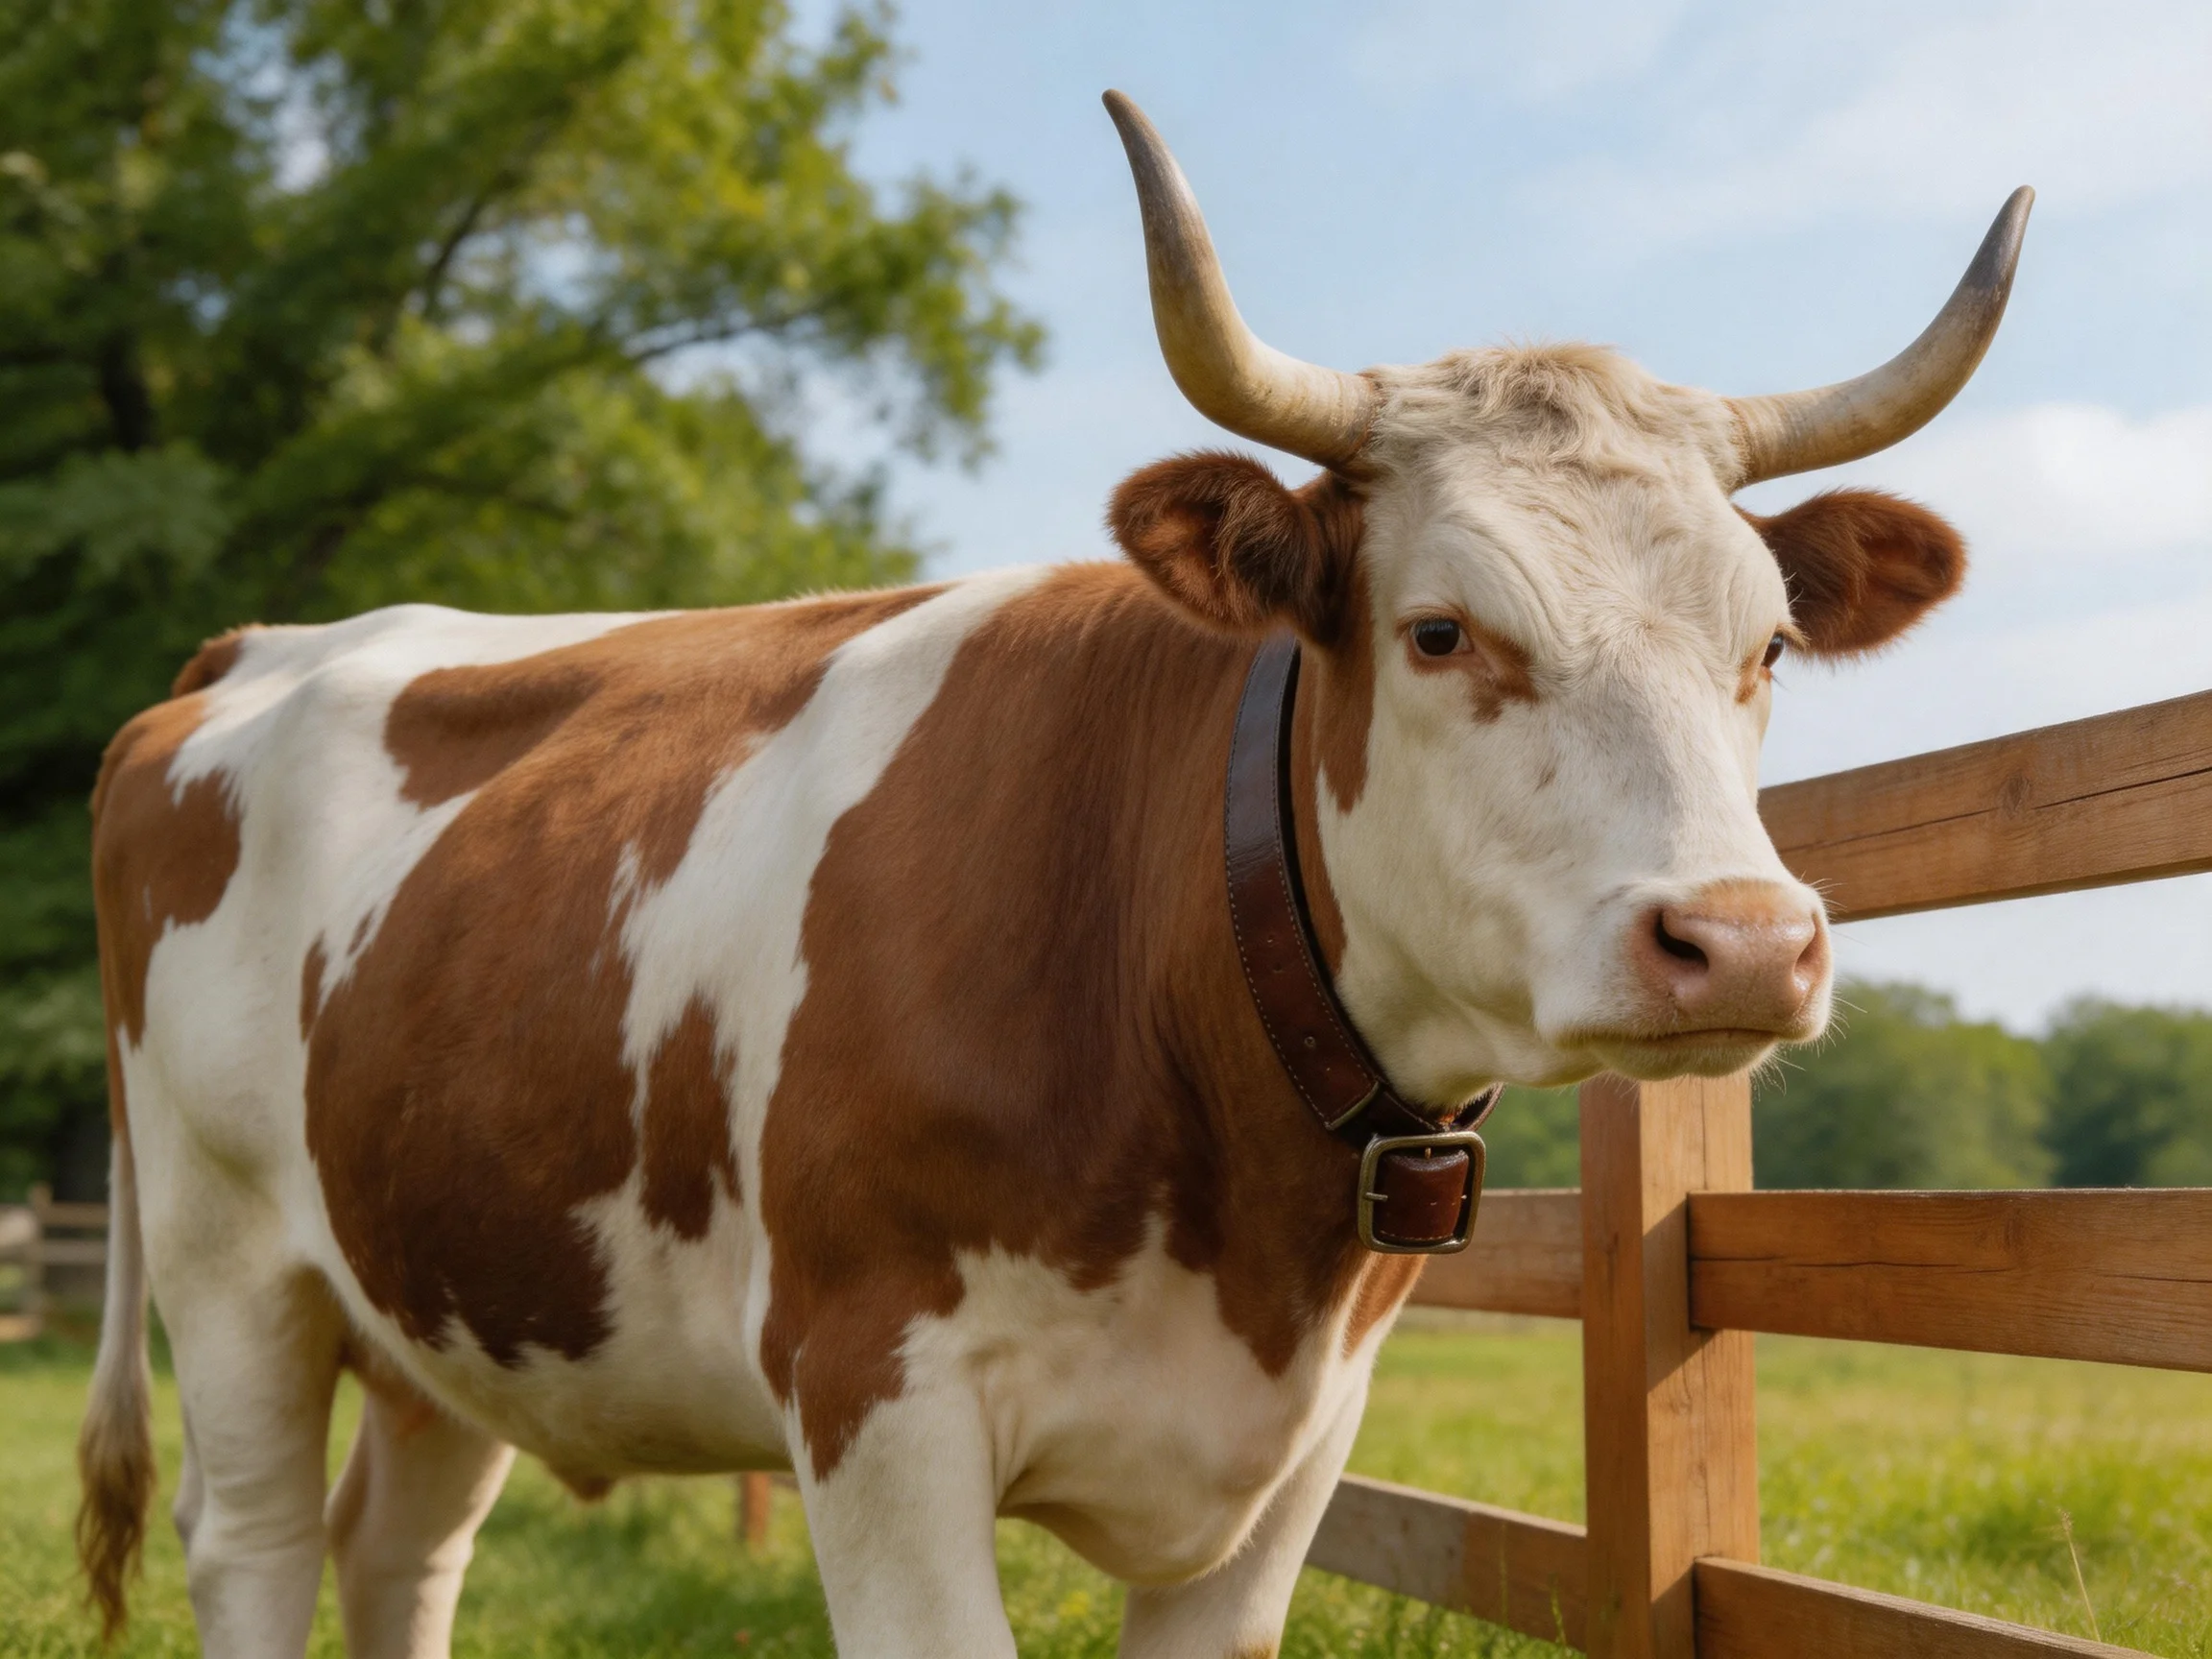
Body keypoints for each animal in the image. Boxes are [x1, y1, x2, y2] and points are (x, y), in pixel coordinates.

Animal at [77, 91, 2027, 1657]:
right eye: (1439, 628)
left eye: (1767, 645)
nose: (1744, 942)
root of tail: (264, 648)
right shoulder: (876, 1403)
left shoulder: (1285, 1467)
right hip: (231, 1265)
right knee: (253, 1547)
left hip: (457, 1296)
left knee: (394, 1551)